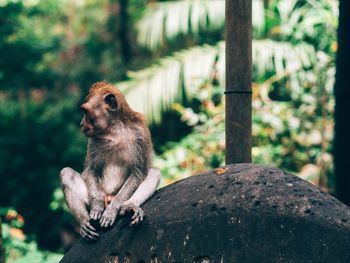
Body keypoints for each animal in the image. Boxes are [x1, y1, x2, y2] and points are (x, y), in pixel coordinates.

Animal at [59, 82, 160, 241]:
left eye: (85, 112)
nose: (81, 124)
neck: (115, 129)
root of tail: (109, 197)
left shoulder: (140, 134)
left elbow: (138, 172)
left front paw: (113, 209)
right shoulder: (92, 139)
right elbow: (90, 169)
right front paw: (97, 204)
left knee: (153, 173)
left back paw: (130, 205)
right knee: (66, 173)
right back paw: (84, 222)